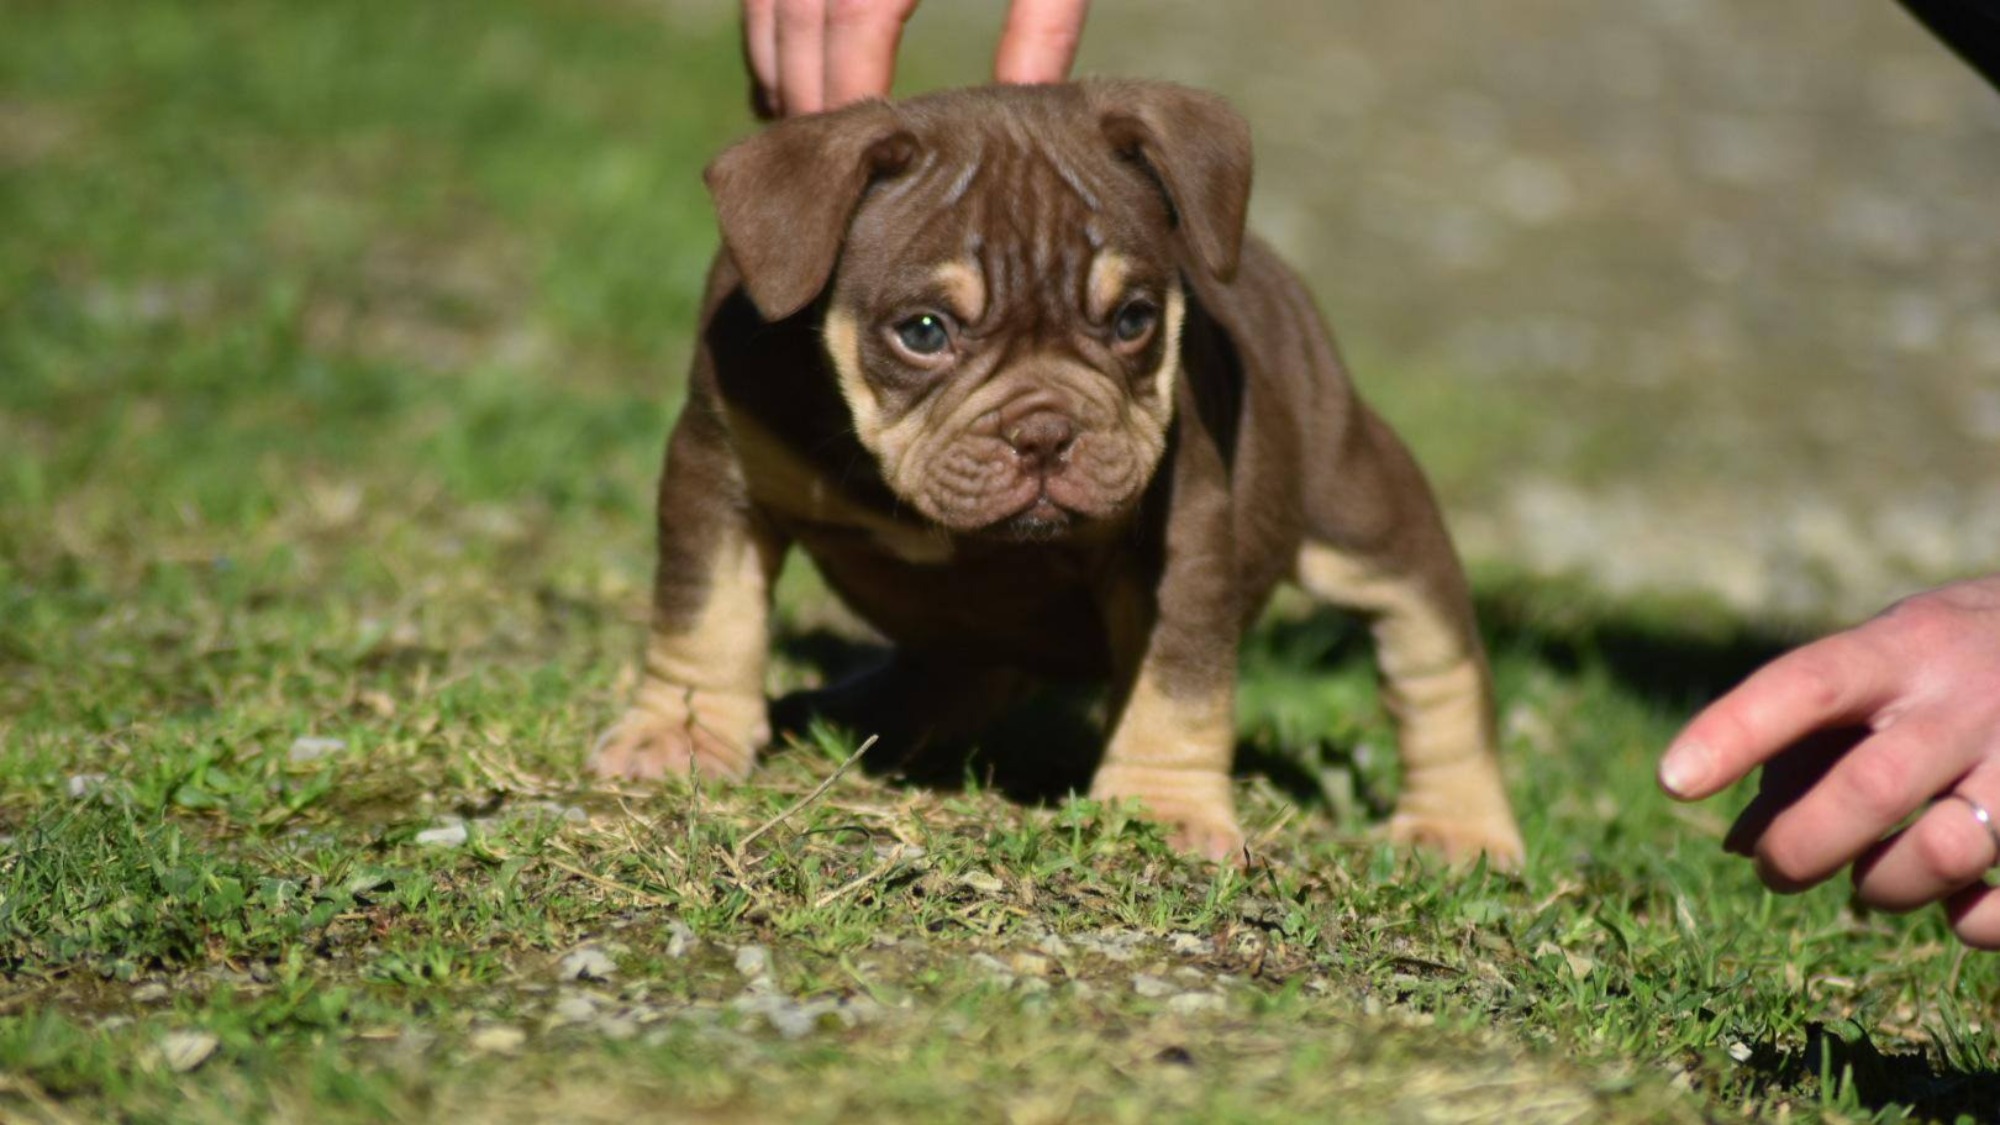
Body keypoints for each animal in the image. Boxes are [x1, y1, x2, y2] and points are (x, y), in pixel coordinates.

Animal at [584, 81, 1520, 868]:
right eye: (923, 331)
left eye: (1134, 319)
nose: (1043, 431)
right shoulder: (717, 473)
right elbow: (705, 612)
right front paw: (682, 732)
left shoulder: (1180, 540)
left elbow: (1180, 679)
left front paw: (1162, 806)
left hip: (1367, 510)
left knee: (1436, 664)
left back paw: (1459, 826)